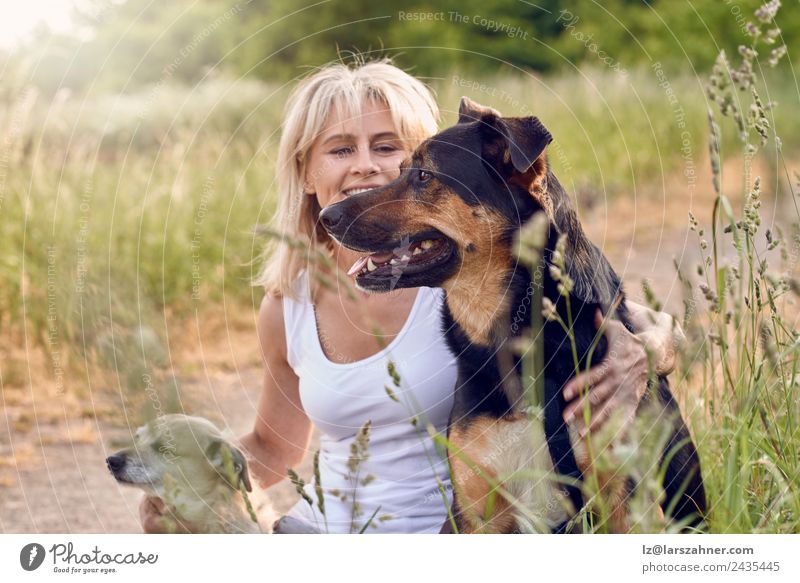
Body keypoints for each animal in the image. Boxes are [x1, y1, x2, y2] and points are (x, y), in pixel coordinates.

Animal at [318, 98, 708, 532]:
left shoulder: (623, 503)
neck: (518, 339)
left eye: (423, 175)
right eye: (402, 170)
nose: (326, 217)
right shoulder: (476, 511)